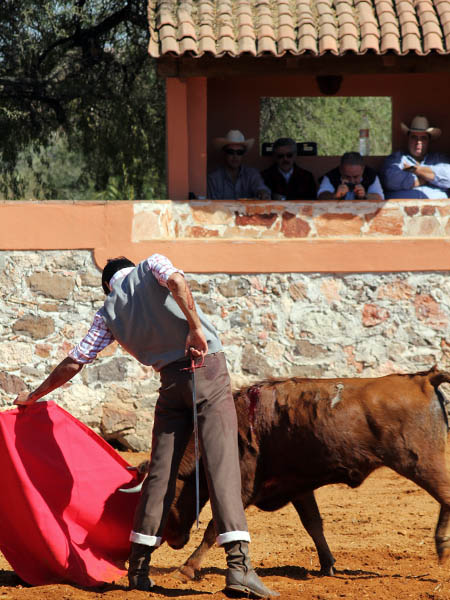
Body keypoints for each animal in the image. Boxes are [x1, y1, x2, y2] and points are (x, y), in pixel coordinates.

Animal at [162, 366, 450, 576]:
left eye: (170, 497)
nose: (171, 541)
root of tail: (424, 378)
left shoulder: (242, 485)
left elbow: (216, 526)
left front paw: (187, 568)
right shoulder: (298, 487)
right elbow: (313, 524)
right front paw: (327, 565)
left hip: (422, 463)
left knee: (446, 496)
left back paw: (442, 546)